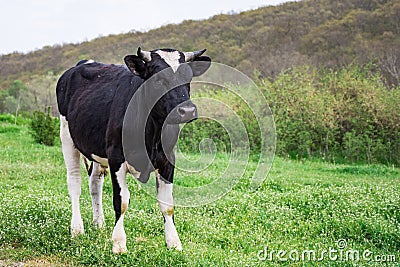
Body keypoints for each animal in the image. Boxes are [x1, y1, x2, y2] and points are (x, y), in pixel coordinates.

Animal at [57, 47, 211, 254]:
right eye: (157, 79)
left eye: (188, 77)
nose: (187, 111)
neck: (152, 133)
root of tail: (83, 63)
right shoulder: (116, 158)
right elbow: (121, 201)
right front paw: (119, 244)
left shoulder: (167, 159)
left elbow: (167, 204)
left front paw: (173, 243)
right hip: (67, 137)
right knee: (74, 184)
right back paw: (77, 229)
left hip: (96, 151)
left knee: (95, 184)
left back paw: (99, 223)